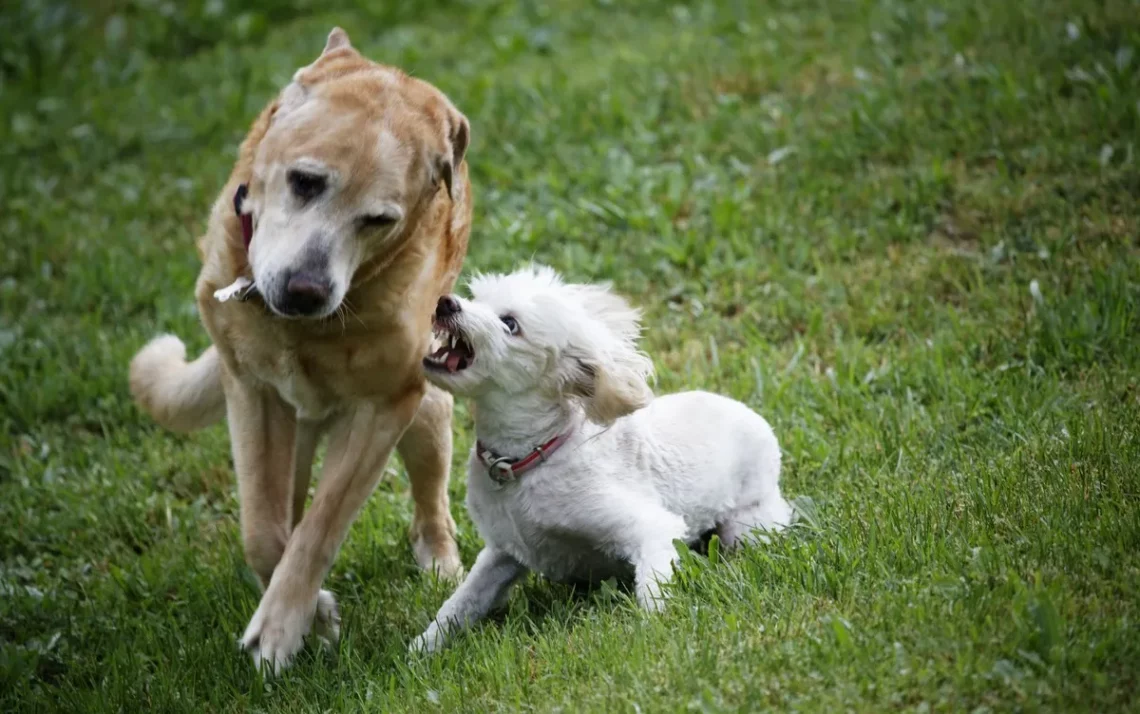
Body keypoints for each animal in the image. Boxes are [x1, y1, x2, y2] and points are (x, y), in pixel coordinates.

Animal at [130, 27, 471, 670]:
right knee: (283, 507)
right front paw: (312, 614)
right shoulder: (252, 391)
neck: (303, 331)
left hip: (421, 418)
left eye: (378, 219)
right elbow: (264, 531)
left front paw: (283, 626)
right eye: (305, 182)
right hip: (293, 425)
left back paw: (440, 560)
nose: (305, 290)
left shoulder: (383, 407)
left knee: (429, 489)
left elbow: (321, 526)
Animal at [410, 265, 793, 652]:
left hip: (749, 525)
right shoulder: (503, 553)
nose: (445, 303)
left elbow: (653, 589)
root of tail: (754, 416)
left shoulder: (651, 528)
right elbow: (461, 603)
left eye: (510, 323)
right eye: (477, 297)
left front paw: (655, 631)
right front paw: (422, 648)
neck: (528, 460)